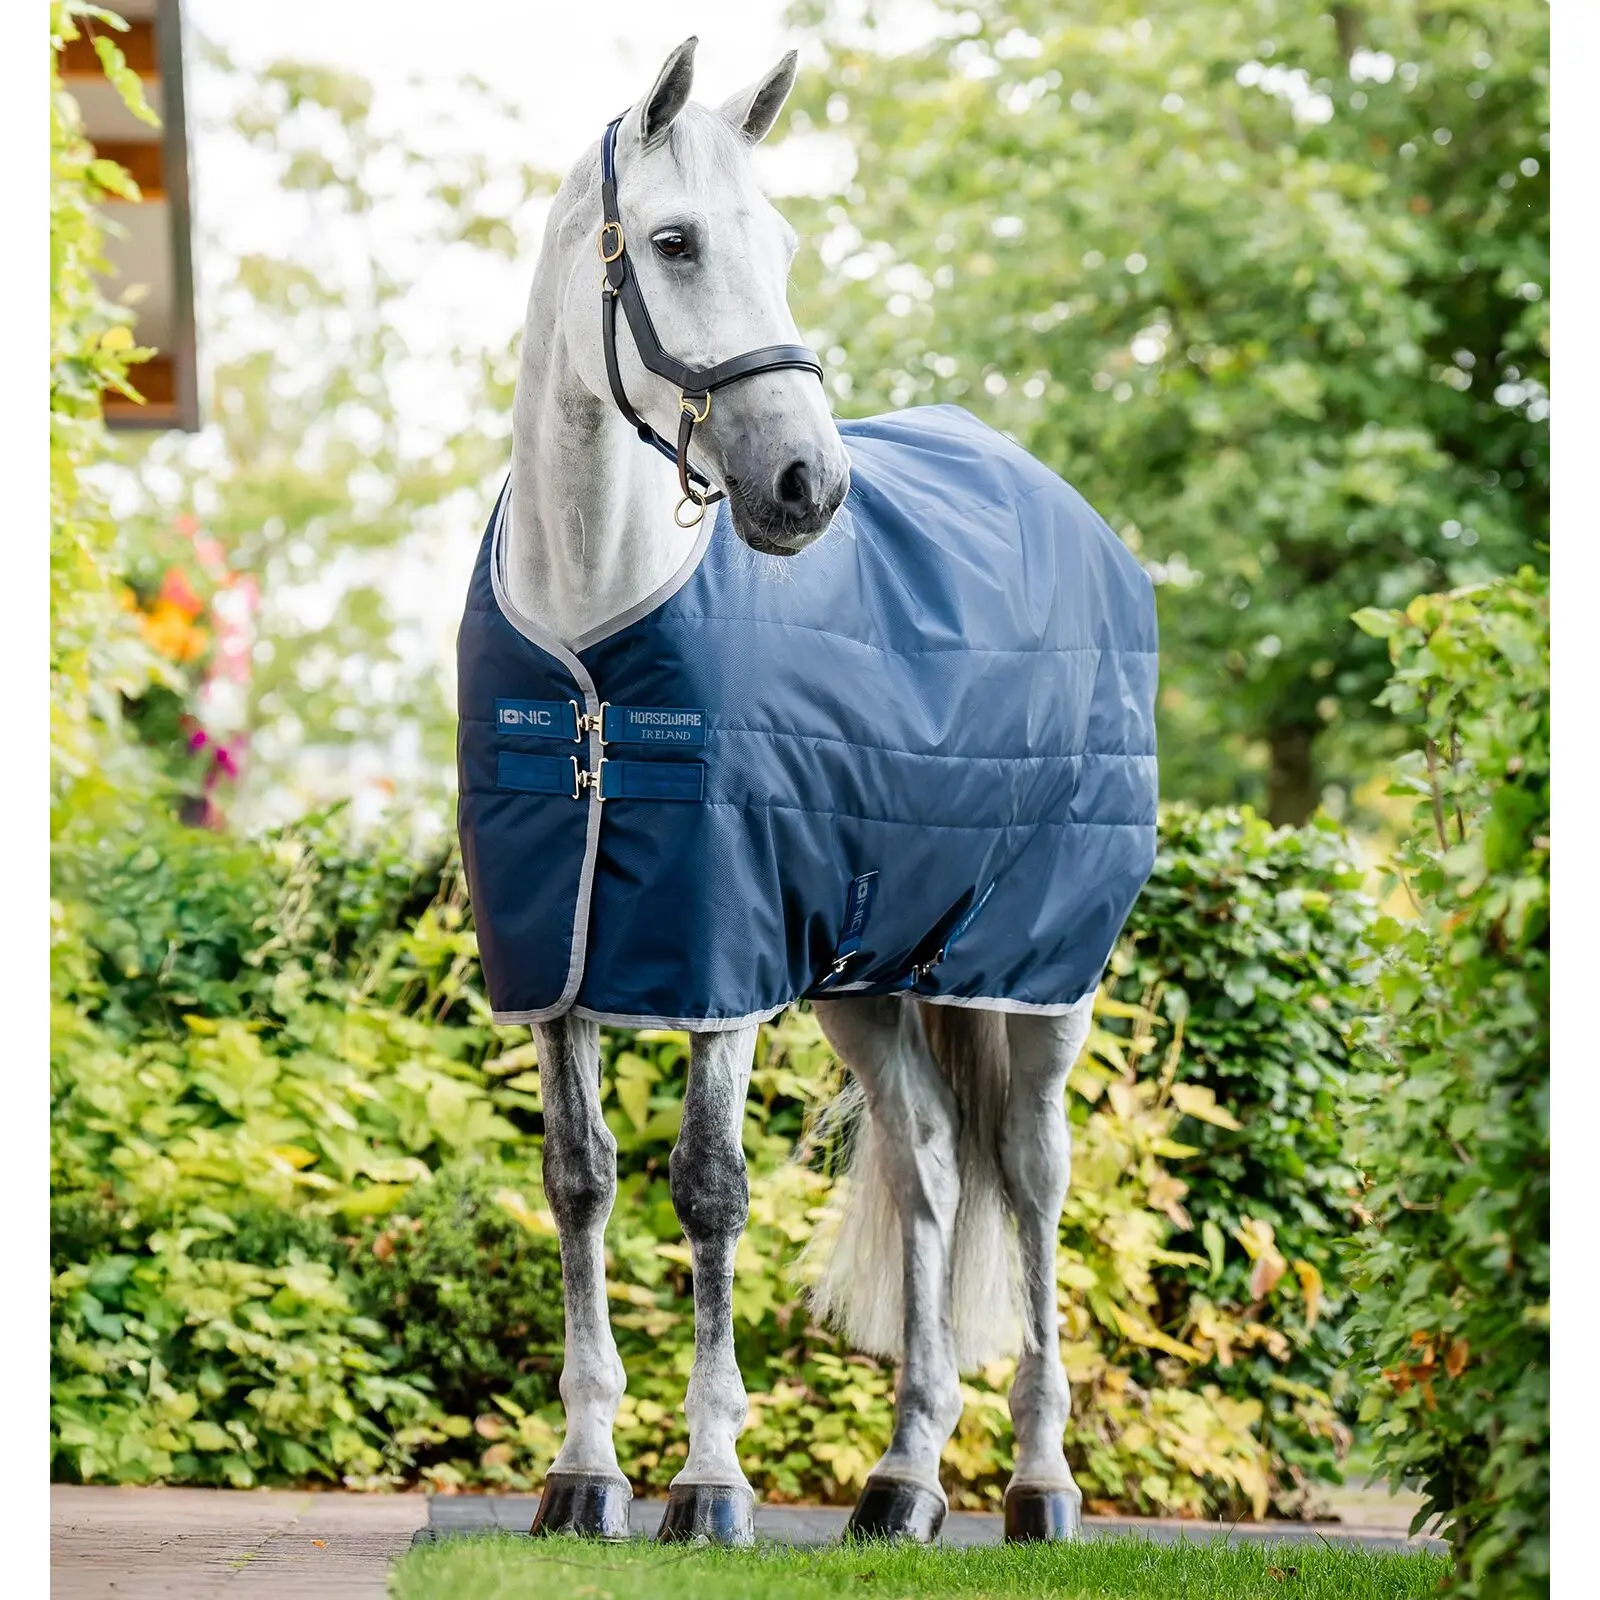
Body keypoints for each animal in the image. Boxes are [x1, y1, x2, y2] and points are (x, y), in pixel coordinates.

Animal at [457, 36, 1158, 1546]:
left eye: (780, 243)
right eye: (673, 240)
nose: (804, 485)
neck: (593, 646)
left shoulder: (722, 954)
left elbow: (709, 1190)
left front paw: (711, 1483)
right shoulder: (557, 959)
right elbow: (579, 1182)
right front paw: (583, 1475)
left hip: (1041, 978)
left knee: (1034, 1184)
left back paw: (1038, 1484)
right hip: (872, 980)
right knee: (936, 1172)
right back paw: (901, 1485)